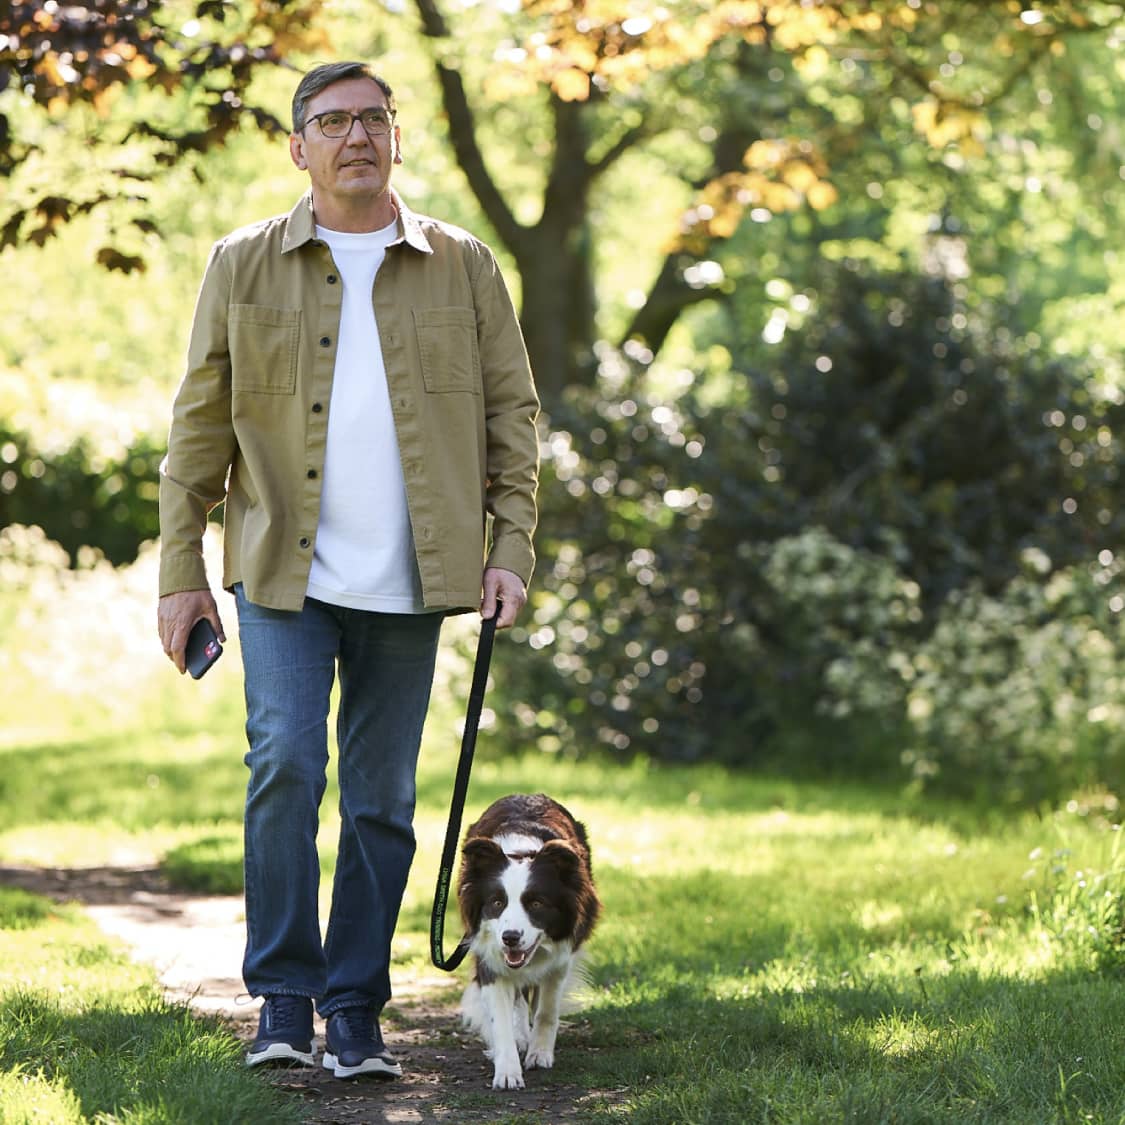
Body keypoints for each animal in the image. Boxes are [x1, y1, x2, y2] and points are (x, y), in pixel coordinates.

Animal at [456, 792, 603, 1089]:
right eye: (497, 902)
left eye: (536, 903)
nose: (510, 938)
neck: (521, 852)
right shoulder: (489, 954)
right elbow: (500, 1017)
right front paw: (507, 1071)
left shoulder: (562, 956)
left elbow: (546, 1009)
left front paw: (540, 1053)